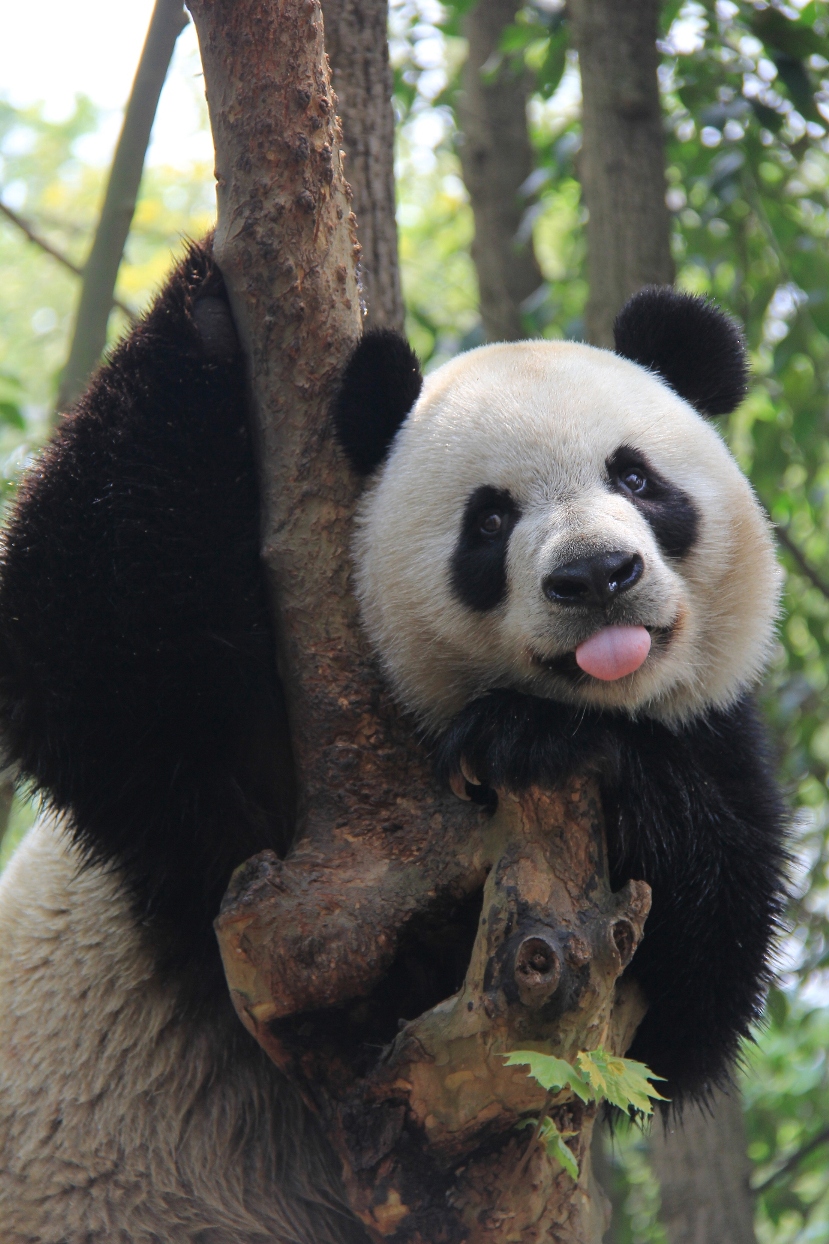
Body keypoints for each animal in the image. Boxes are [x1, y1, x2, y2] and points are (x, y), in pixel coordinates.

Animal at [0, 238, 787, 1242]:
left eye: (636, 478)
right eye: (489, 518)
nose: (595, 576)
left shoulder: (708, 754)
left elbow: (692, 998)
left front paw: (543, 739)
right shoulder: (263, 823)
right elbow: (89, 663)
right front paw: (208, 308)